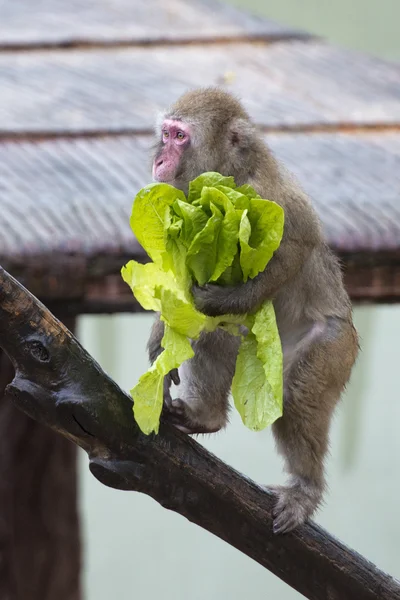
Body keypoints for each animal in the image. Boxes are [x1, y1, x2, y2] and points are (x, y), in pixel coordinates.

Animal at [147, 86, 360, 532]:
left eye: (179, 137)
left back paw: (306, 489)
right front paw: (159, 338)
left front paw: (226, 300)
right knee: (217, 334)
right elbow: (179, 275)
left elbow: (296, 248)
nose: (159, 159)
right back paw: (206, 416)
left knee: (296, 397)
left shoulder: (268, 195)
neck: (234, 173)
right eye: (166, 133)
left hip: (332, 349)